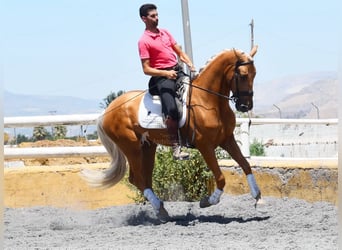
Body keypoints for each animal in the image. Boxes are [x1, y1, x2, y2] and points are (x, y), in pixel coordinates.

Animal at [81, 46, 260, 222]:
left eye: (254, 74)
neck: (208, 100)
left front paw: (257, 195)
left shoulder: (227, 139)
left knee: (143, 178)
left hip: (147, 146)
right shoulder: (205, 146)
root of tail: (108, 110)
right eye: (243, 75)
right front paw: (208, 201)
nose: (245, 106)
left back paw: (160, 210)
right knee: (138, 178)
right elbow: (221, 177)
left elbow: (245, 164)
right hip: (131, 147)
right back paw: (160, 208)